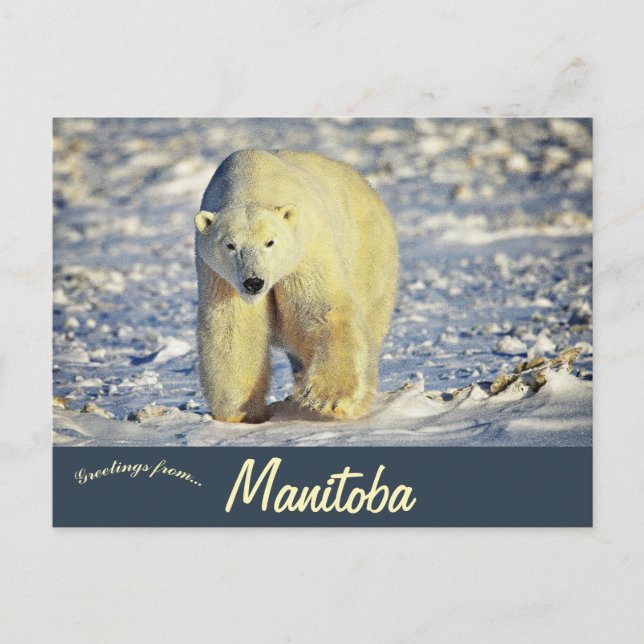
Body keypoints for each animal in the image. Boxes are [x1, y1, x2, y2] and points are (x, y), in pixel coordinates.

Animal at [194, 149, 399, 423]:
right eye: (230, 246)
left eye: (270, 242)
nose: (254, 282)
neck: (251, 181)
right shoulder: (218, 275)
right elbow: (234, 327)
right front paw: (240, 412)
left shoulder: (306, 249)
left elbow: (322, 308)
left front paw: (328, 398)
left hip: (368, 255)